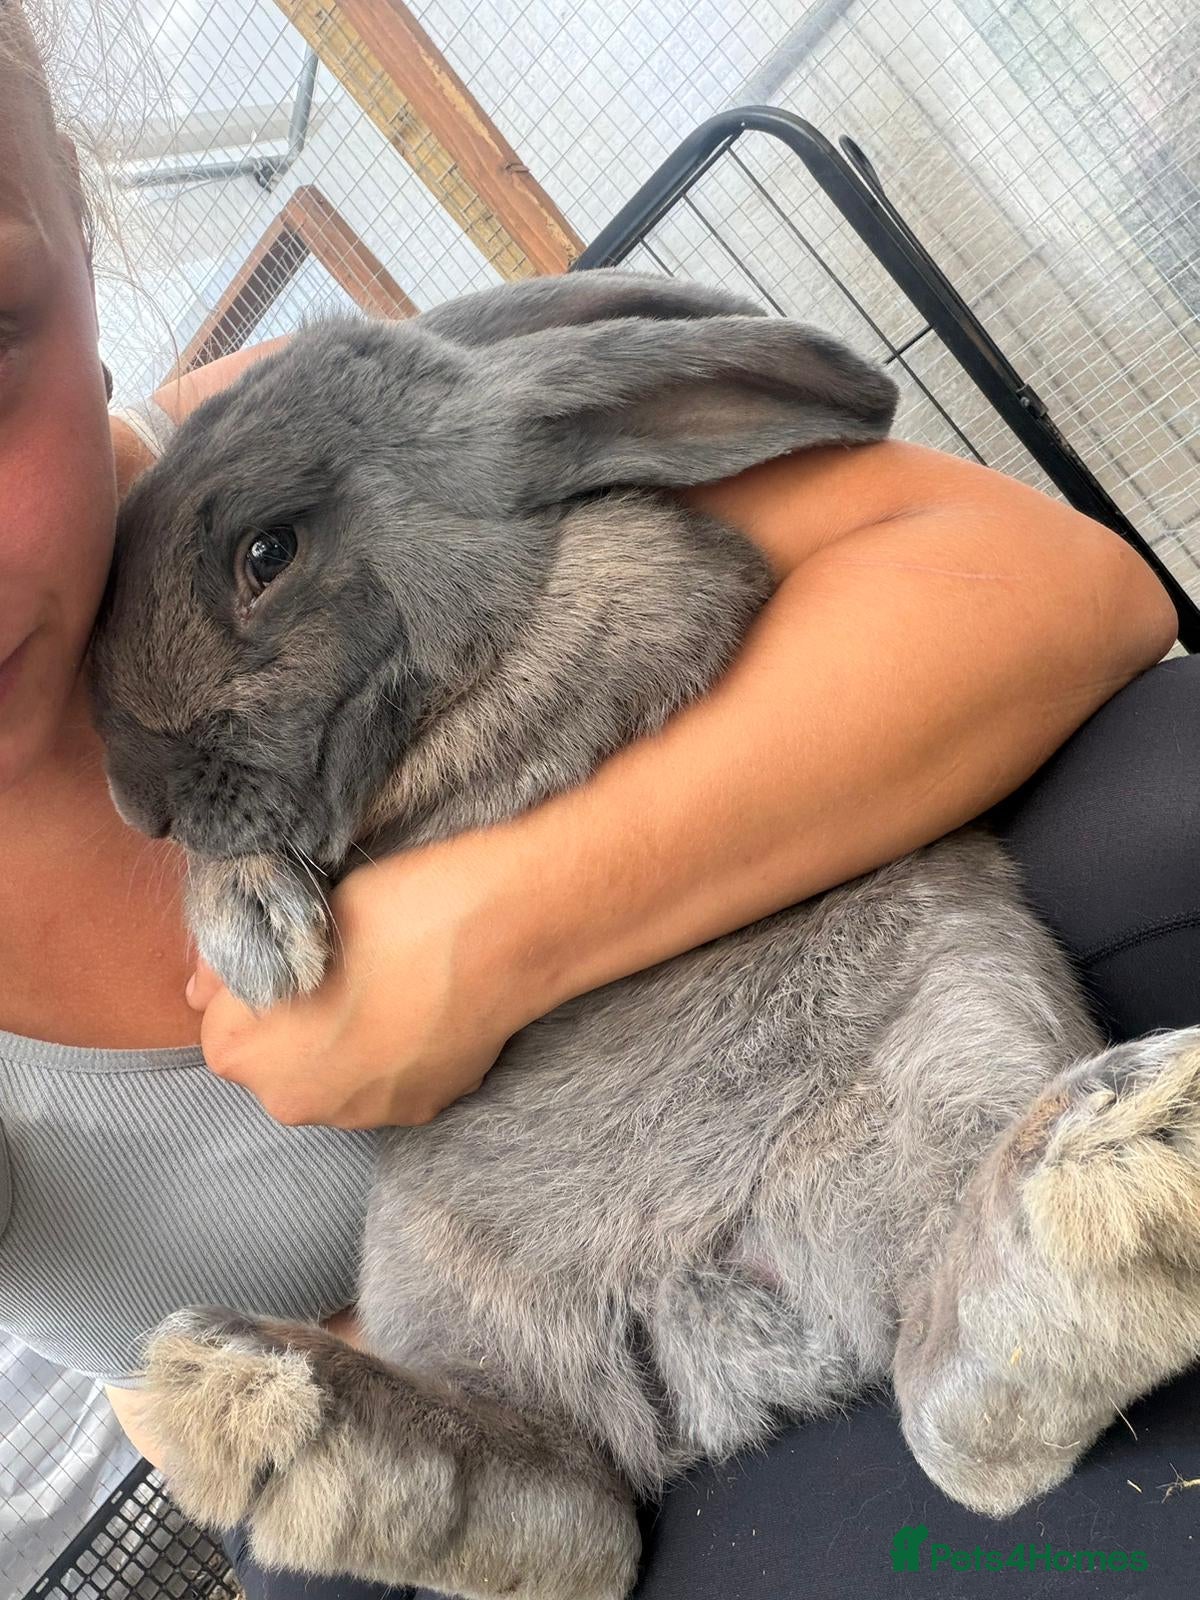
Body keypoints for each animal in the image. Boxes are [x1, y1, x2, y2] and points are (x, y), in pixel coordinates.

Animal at [89, 270, 1200, 1600]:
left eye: (267, 553)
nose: (137, 803)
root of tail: (710, 1310)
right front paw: (257, 918)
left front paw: (256, 933)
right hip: (434, 1268)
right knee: (582, 1502)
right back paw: (283, 1411)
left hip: (953, 1044)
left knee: (939, 1394)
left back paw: (1120, 1154)